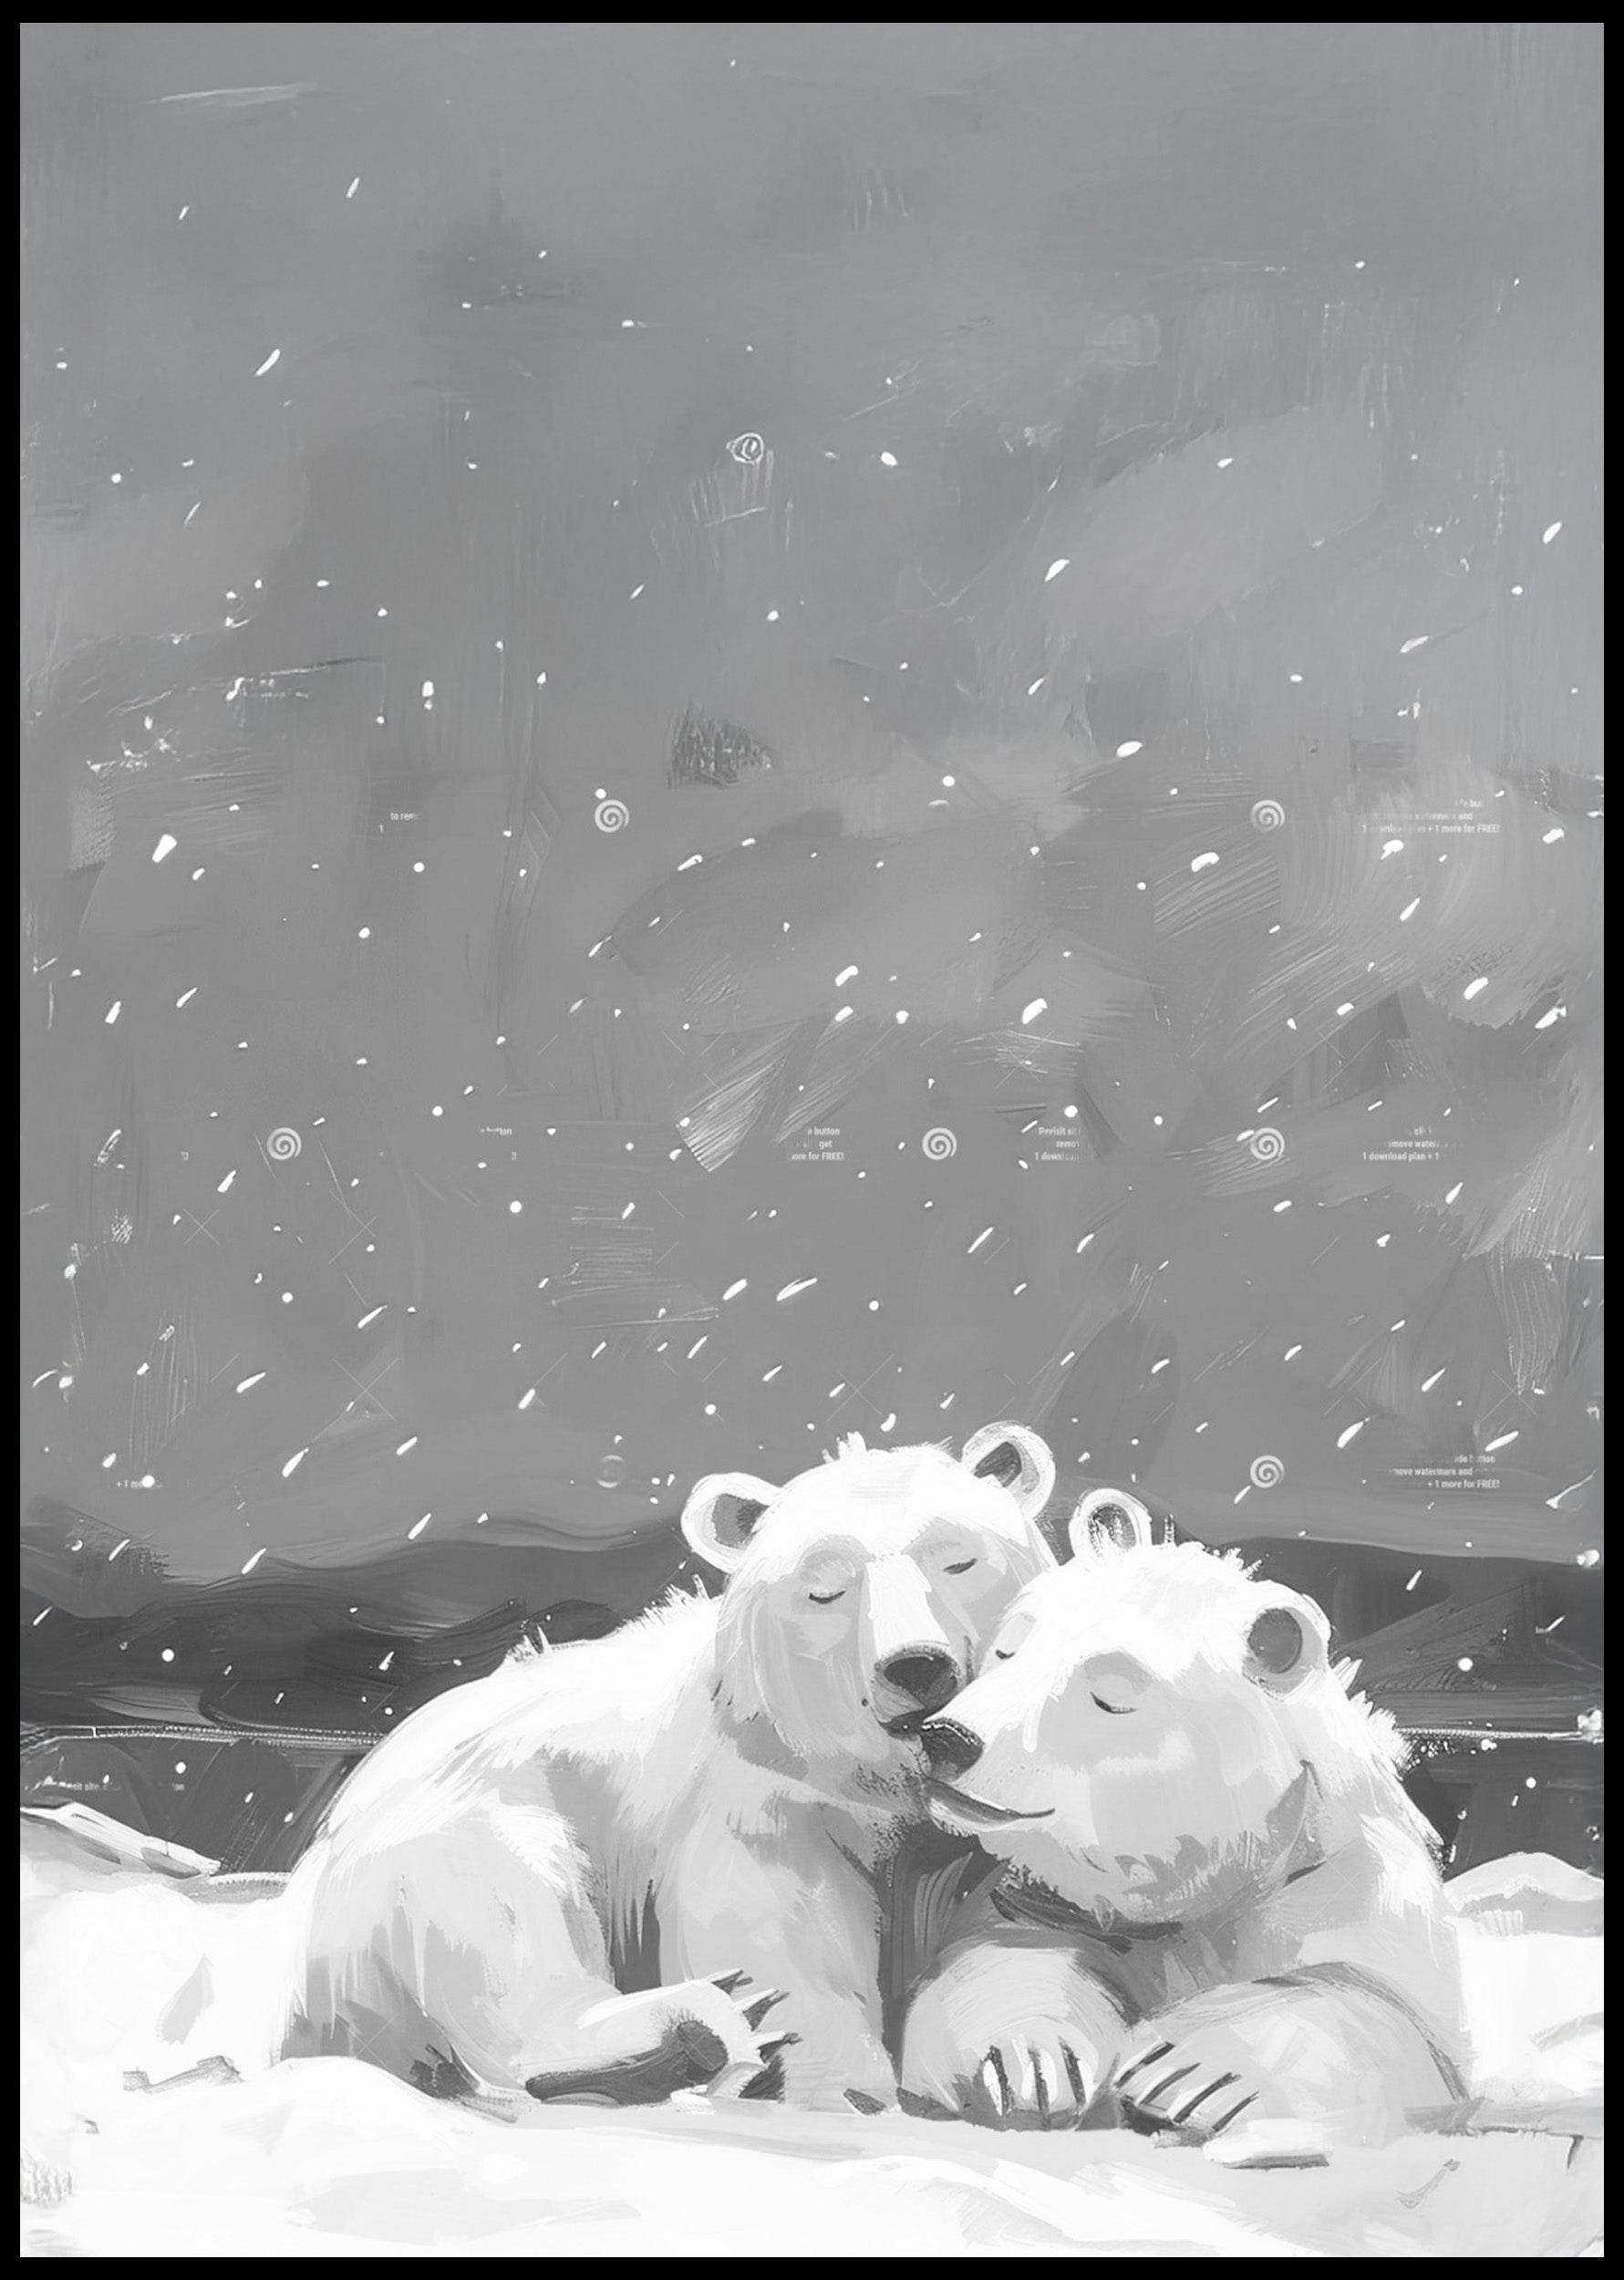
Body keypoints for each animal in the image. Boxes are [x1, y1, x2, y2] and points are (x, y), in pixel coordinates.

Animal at [275, 1421, 1057, 2116]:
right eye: (825, 1588)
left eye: (957, 1560)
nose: (916, 1665)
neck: (879, 1783)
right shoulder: (764, 1802)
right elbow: (785, 1933)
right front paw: (839, 2087)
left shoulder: (993, 1816)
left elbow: (1012, 1925)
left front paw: (1024, 2066)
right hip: (452, 1829)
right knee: (506, 1907)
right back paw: (677, 2034)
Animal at [899, 1488, 1470, 2150]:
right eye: (1008, 1649)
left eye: (1110, 1696)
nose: (948, 1737)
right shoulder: (1042, 1903)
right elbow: (1000, 1955)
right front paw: (1027, 2058)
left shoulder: (1344, 1899)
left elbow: (1390, 2030)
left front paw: (1190, 2070)